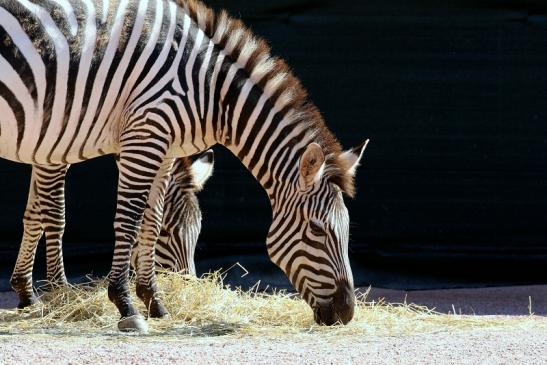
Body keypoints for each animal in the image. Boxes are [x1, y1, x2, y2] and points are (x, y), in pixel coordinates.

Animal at [9, 149, 214, 308]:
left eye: (198, 231)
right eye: (164, 232)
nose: (188, 289)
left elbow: (34, 217)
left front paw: (25, 292)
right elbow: (54, 217)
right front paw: (58, 290)